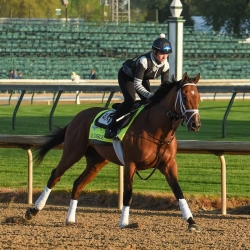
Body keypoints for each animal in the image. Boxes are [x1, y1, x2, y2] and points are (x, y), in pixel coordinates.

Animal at [24, 71, 201, 231]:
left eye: (198, 97)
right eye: (185, 96)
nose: (196, 124)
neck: (155, 128)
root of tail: (78, 116)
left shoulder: (168, 164)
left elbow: (178, 191)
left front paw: (191, 222)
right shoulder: (130, 164)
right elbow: (128, 194)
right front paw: (124, 222)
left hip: (96, 162)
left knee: (78, 183)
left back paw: (70, 219)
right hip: (72, 152)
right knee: (55, 175)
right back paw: (33, 210)